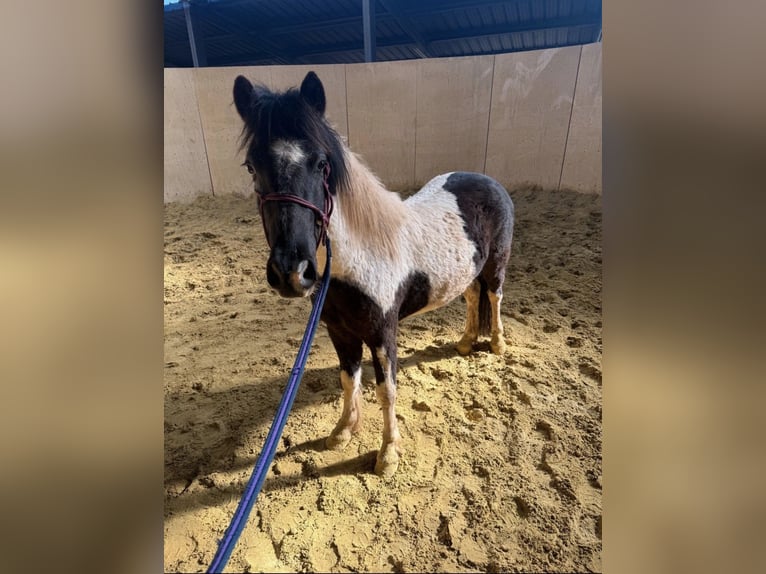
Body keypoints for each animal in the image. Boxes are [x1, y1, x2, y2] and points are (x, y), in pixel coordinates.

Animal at [232, 71, 514, 477]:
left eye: (321, 163)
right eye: (252, 166)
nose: (291, 272)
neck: (357, 265)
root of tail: (487, 181)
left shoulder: (382, 334)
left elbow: (386, 389)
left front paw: (388, 454)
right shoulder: (339, 331)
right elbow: (348, 379)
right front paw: (342, 432)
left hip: (496, 266)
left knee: (493, 295)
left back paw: (496, 344)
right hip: (465, 272)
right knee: (473, 296)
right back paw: (465, 342)